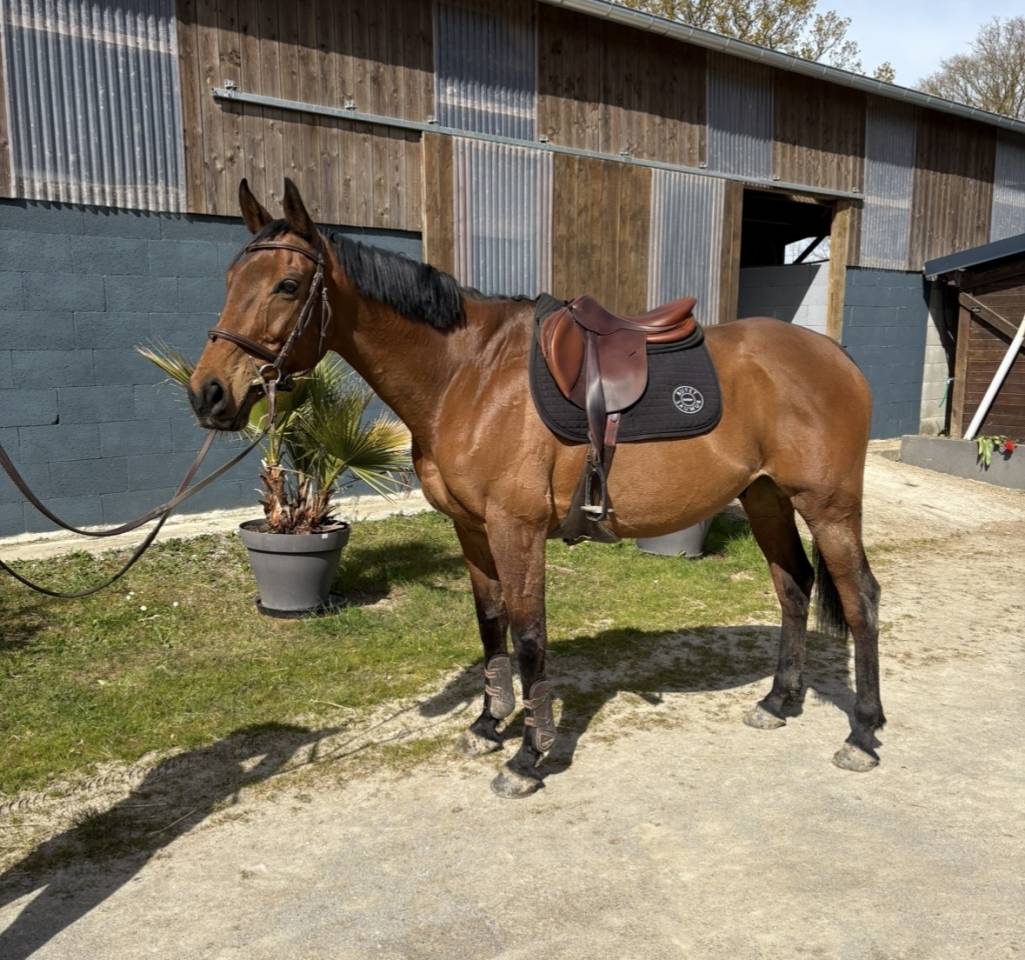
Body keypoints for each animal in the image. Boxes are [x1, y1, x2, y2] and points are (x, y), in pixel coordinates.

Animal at [188, 177, 884, 798]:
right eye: (227, 282)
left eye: (287, 285)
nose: (208, 394)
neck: (466, 375)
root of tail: (838, 357)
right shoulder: (471, 529)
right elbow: (491, 624)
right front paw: (488, 724)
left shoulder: (515, 529)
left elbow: (528, 637)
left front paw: (529, 756)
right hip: (766, 498)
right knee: (793, 586)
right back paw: (778, 701)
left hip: (829, 507)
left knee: (860, 602)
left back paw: (863, 734)